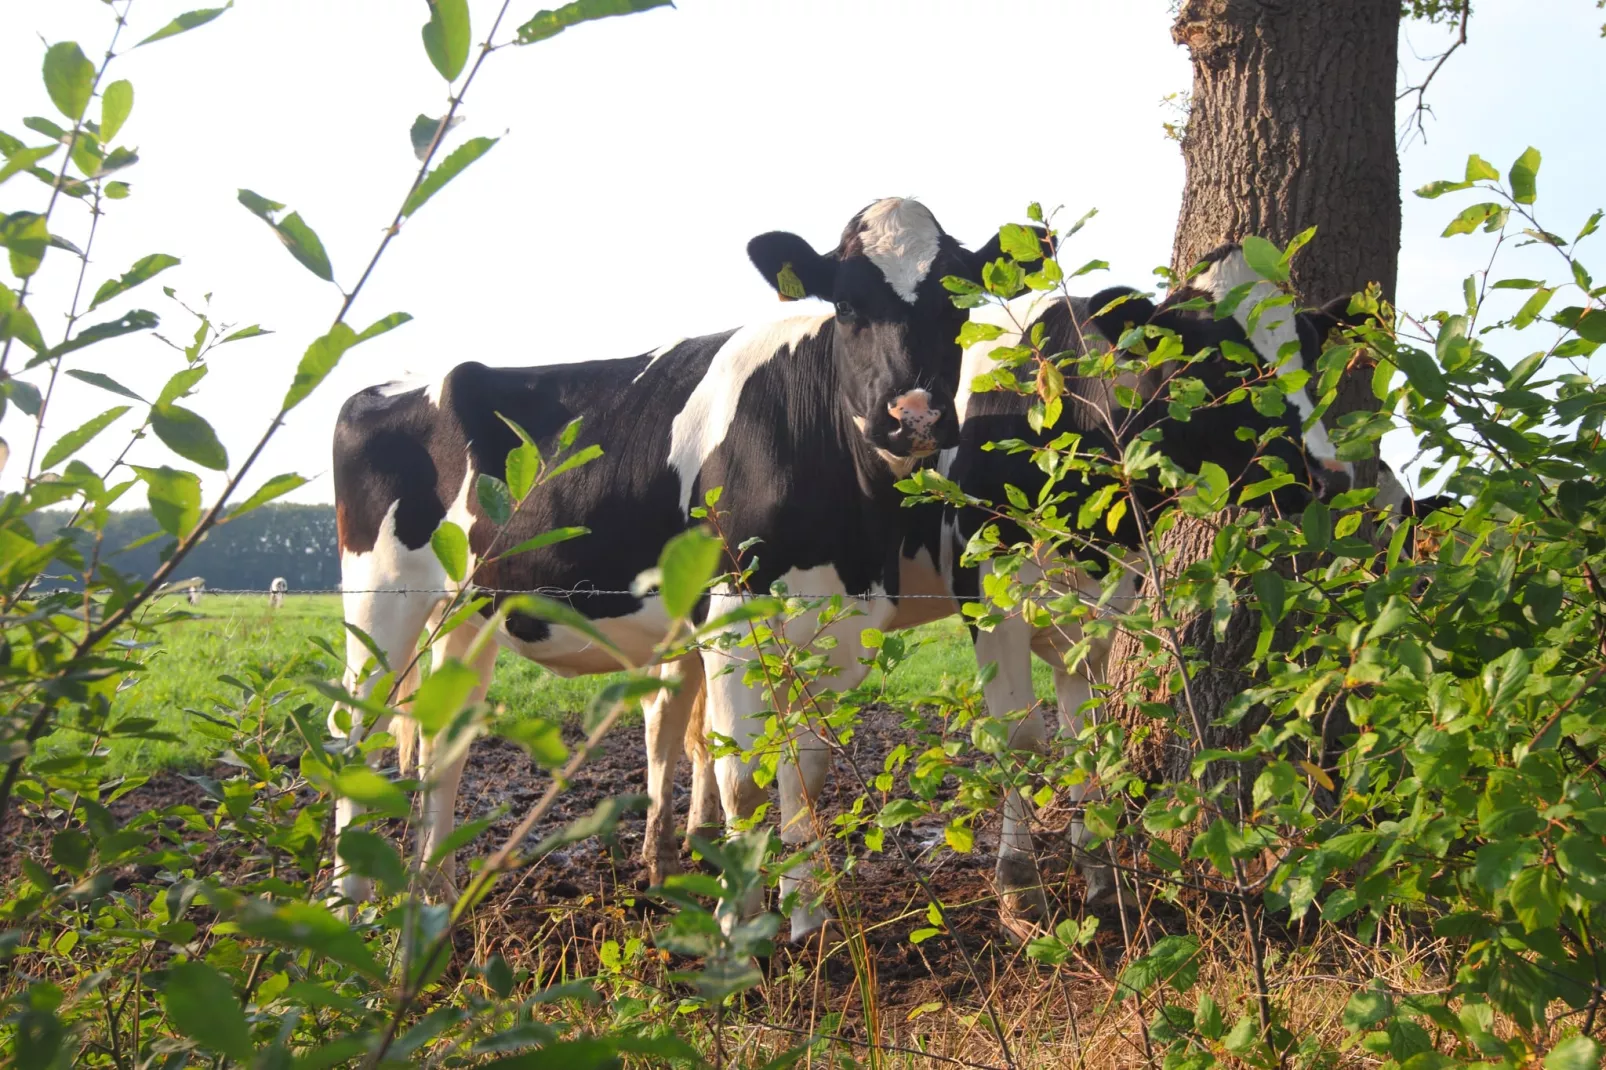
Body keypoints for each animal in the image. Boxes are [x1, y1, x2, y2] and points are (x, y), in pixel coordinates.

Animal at [327, 196, 1008, 938]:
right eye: (848, 304)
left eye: (956, 303)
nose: (914, 416)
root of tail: (392, 383)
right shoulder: (734, 620)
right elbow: (743, 779)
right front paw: (740, 928)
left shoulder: (842, 620)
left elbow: (807, 771)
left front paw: (810, 921)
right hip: (381, 596)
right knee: (355, 735)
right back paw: (344, 909)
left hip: (469, 613)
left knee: (443, 744)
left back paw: (437, 898)